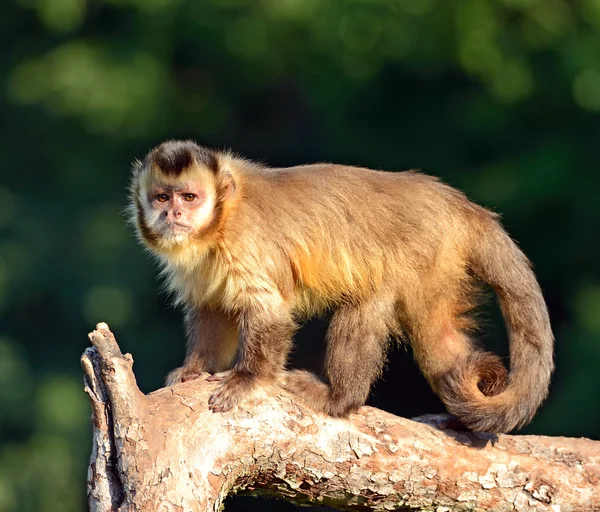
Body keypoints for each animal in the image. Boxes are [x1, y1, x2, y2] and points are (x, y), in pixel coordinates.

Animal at [129, 139, 556, 432]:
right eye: (162, 197)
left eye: (189, 197)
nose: (174, 213)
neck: (221, 222)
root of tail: (457, 203)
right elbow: (212, 309)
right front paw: (194, 369)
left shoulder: (245, 242)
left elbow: (270, 312)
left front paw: (248, 380)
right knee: (441, 342)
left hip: (425, 250)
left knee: (370, 304)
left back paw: (339, 398)